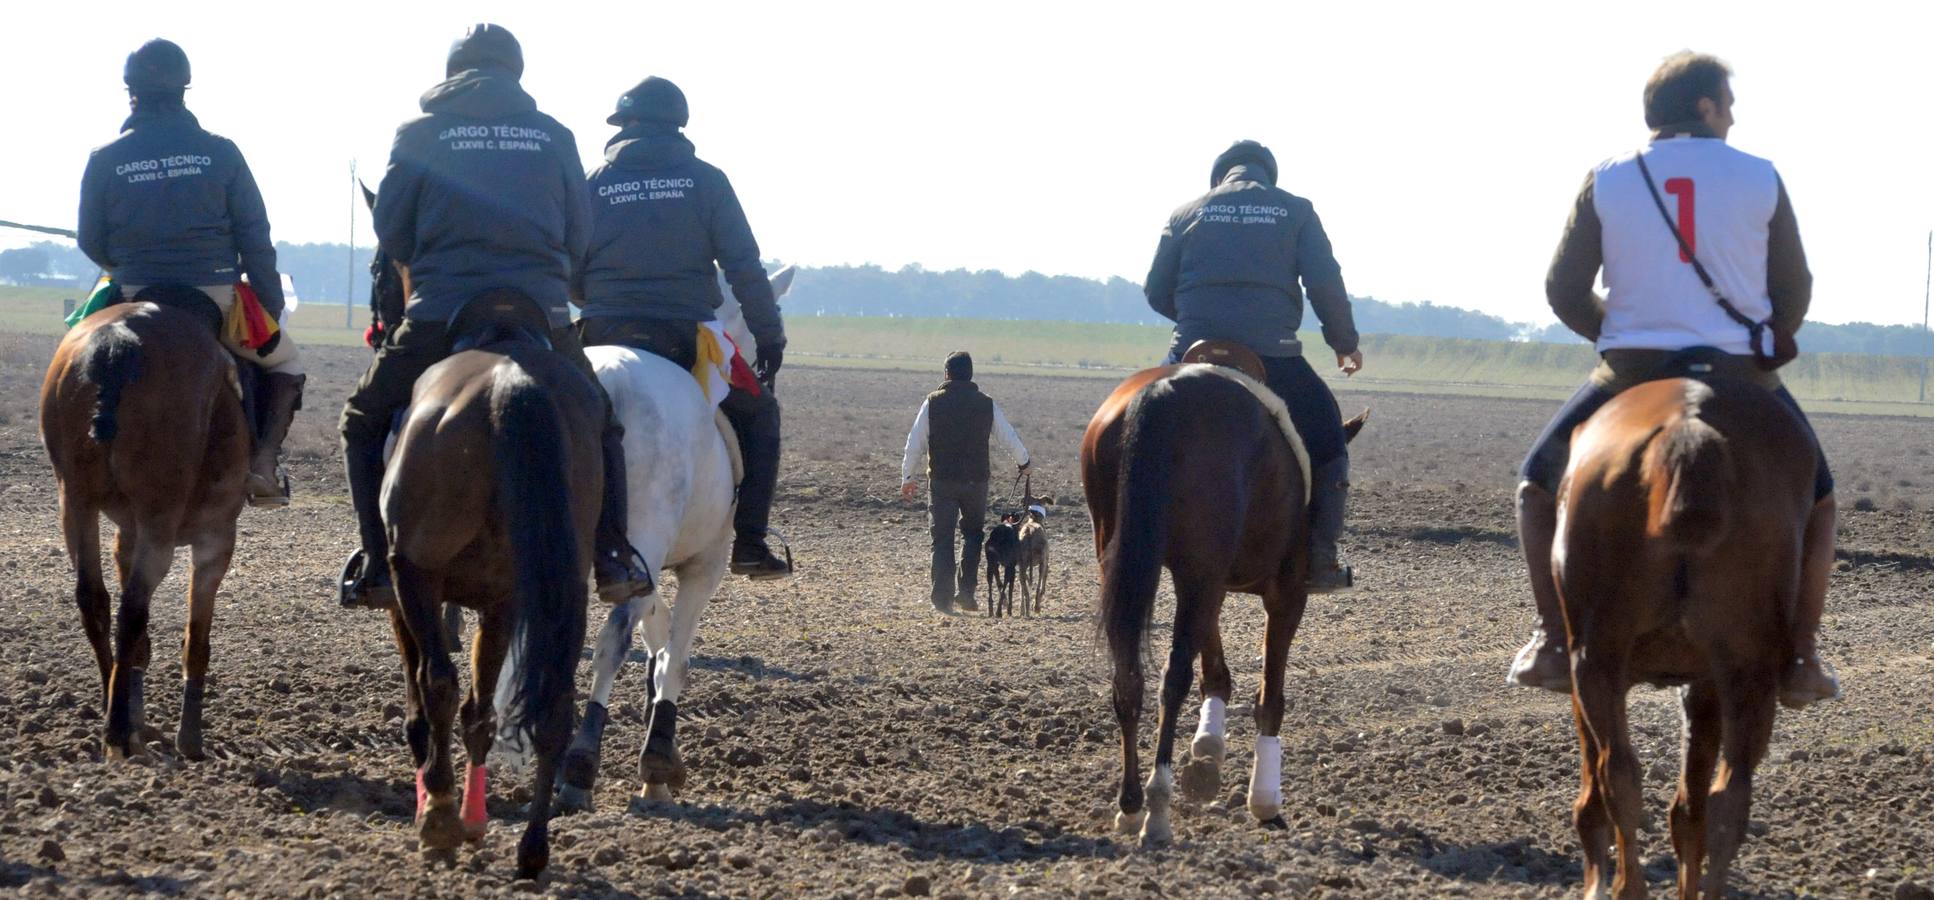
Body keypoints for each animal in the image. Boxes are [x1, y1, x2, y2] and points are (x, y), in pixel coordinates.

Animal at [39, 296, 249, 758]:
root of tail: (117, 340)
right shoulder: (215, 540)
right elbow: (196, 638)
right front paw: (190, 740)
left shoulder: (125, 536)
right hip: (159, 521)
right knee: (131, 611)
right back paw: (120, 730)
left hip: (76, 502)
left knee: (94, 601)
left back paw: (114, 713)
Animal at [1083, 360, 1369, 843]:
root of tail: (1164, 392)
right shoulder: (1284, 594)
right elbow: (1270, 694)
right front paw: (1265, 799)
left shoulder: (1206, 580)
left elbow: (1215, 670)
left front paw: (1207, 751)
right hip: (1204, 576)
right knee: (1172, 678)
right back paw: (1158, 809)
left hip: (1129, 563)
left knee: (1129, 676)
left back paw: (1131, 804)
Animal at [1547, 373, 1817, 898]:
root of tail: (1687, 428)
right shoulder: (1706, 683)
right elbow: (1690, 811)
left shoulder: (1585, 671)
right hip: (1749, 675)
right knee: (1728, 798)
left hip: (1598, 659)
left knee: (1619, 775)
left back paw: (1625, 887)